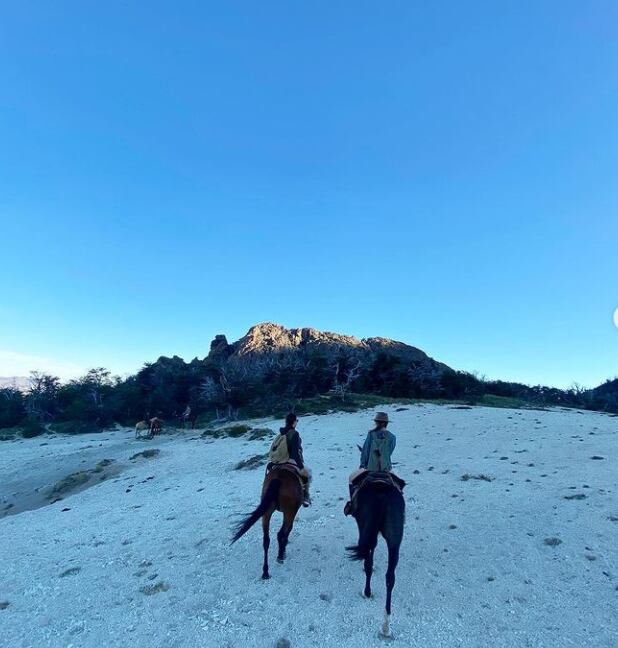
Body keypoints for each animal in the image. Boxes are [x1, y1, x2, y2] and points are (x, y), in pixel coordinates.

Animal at [346, 476, 404, 636]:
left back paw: (367, 592)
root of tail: (382, 496)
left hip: (367, 529)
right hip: (395, 539)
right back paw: (386, 625)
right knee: (390, 578)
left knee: (368, 562)